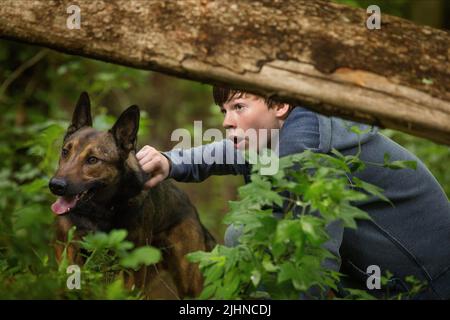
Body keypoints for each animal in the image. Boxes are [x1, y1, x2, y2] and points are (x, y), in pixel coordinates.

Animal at [48, 92, 215, 298]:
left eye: (93, 160)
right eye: (65, 152)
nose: (55, 186)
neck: (100, 211)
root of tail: (193, 211)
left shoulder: (131, 266)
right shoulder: (67, 251)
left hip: (188, 283)